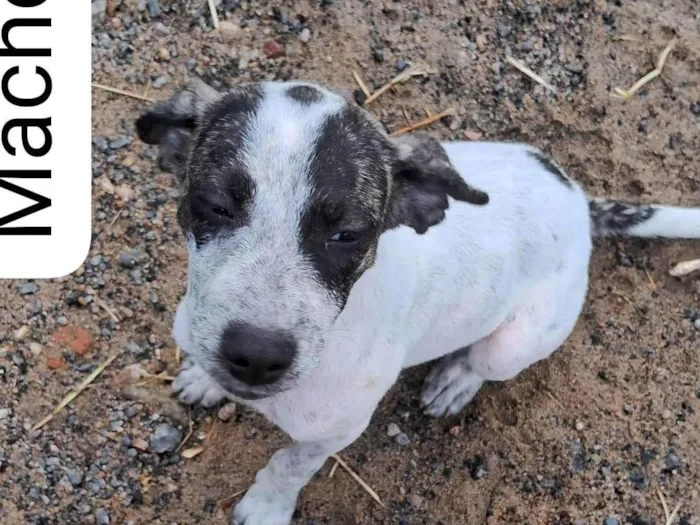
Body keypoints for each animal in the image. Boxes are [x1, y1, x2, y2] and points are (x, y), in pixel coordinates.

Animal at [135, 79, 700, 524]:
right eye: (216, 206)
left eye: (347, 234)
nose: (255, 356)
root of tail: (579, 202)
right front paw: (205, 379)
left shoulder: (335, 431)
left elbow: (289, 466)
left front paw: (266, 506)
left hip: (516, 342)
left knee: (486, 362)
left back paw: (456, 380)